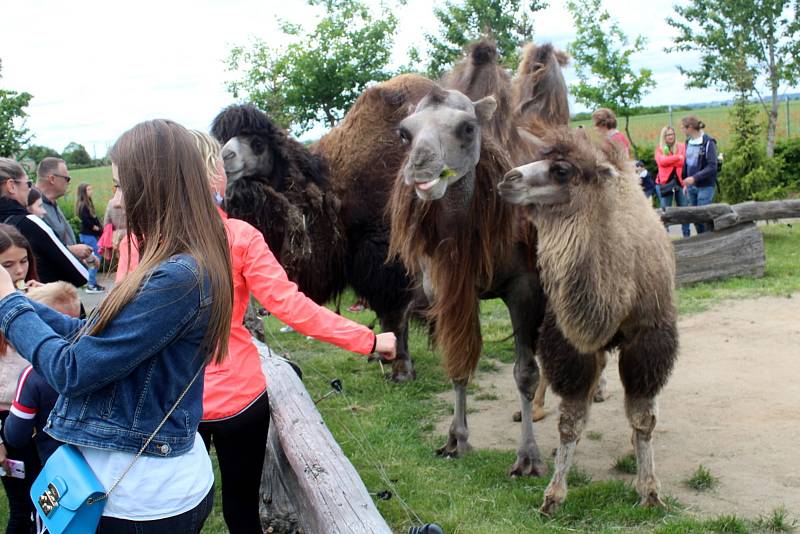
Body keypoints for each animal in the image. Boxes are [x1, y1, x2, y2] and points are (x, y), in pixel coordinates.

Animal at [211, 76, 438, 386]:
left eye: (258, 143)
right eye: (224, 140)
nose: (225, 156)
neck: (334, 192)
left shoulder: (386, 257)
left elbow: (394, 313)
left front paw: (401, 370)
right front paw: (382, 356)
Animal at [388, 86, 552, 480]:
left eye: (467, 127)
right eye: (404, 132)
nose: (420, 166)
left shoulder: (524, 288)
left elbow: (525, 373)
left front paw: (528, 458)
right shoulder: (448, 289)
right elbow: (458, 361)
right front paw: (455, 440)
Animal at [500, 127, 676, 516]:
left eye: (562, 170)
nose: (508, 179)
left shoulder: (649, 338)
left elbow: (643, 418)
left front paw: (649, 490)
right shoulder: (568, 338)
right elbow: (570, 422)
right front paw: (553, 495)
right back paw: (539, 410)